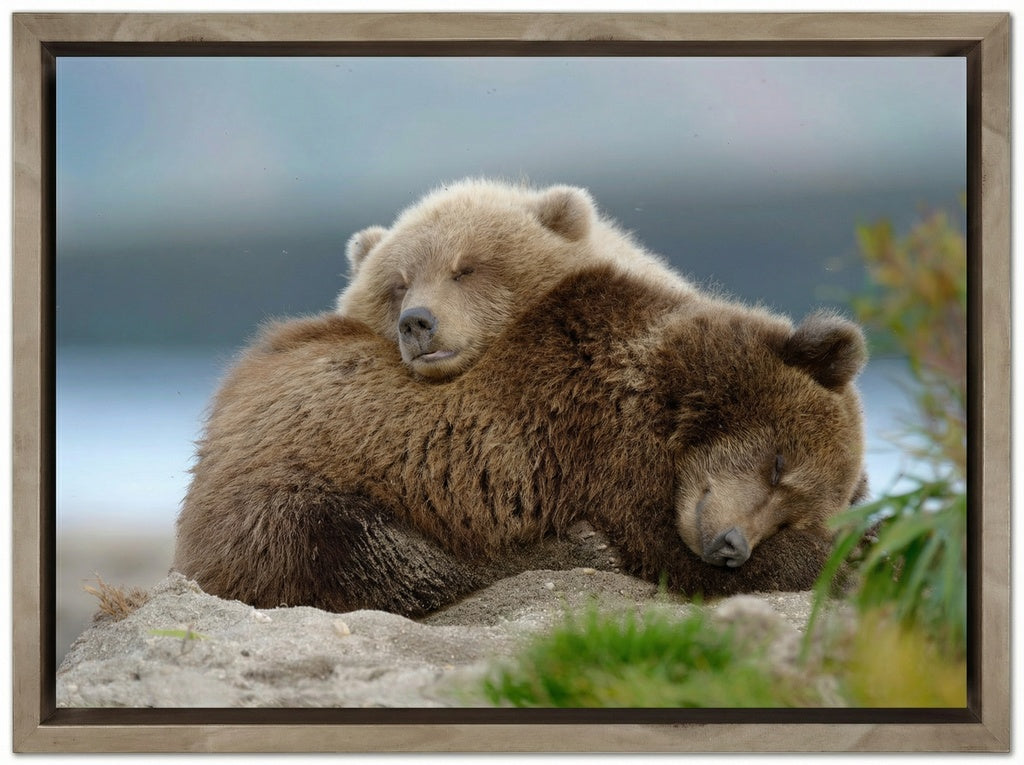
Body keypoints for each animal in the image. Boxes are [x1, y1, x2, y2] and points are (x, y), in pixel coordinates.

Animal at [174, 262, 868, 616]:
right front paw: (856, 553)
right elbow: (660, 548)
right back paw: (569, 548)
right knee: (365, 551)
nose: (731, 547)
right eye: (779, 463)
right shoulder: (601, 441)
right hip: (278, 493)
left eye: (791, 510)